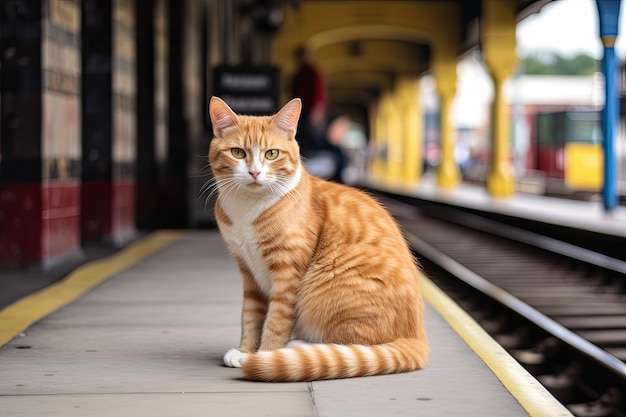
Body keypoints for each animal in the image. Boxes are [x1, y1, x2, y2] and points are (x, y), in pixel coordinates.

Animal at [207, 95, 426, 380]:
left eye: (271, 154)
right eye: (237, 153)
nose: (254, 173)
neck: (248, 209)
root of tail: (417, 336)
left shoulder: (287, 274)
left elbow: (276, 320)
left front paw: (265, 355)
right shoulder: (248, 272)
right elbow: (251, 316)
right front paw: (245, 350)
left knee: (355, 345)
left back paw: (297, 346)